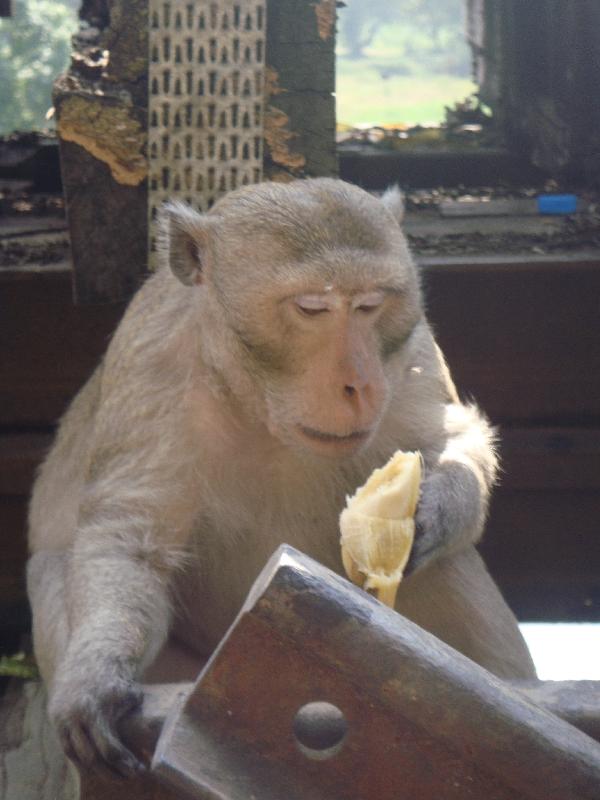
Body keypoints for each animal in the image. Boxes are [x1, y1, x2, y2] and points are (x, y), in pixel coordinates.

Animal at [25, 178, 536, 780]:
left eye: (371, 305)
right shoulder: (151, 361)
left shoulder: (410, 349)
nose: (359, 384)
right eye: (312, 308)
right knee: (52, 562)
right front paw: (97, 674)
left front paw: (438, 505)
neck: (257, 404)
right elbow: (130, 538)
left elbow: (451, 437)